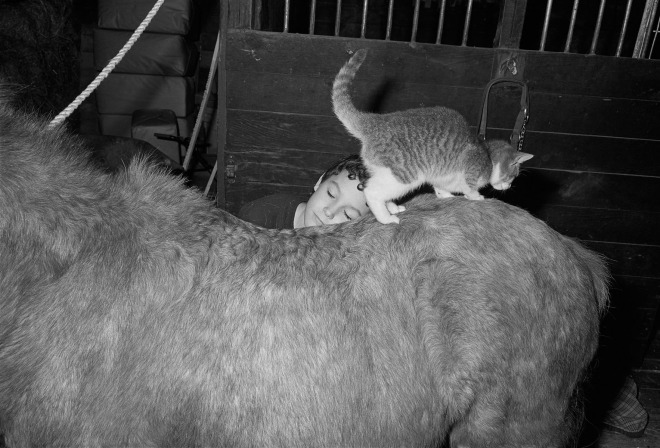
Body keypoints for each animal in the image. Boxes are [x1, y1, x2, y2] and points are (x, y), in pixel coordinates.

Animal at [332, 48, 532, 224]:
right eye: (513, 176)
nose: (509, 187)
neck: (488, 155)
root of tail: (376, 122)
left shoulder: (440, 177)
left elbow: (442, 189)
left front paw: (447, 195)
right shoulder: (471, 169)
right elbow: (469, 188)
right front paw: (476, 197)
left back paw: (392, 207)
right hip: (403, 177)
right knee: (372, 192)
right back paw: (386, 218)